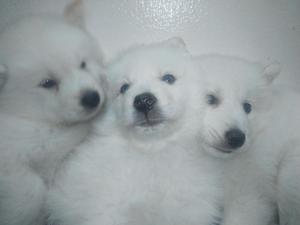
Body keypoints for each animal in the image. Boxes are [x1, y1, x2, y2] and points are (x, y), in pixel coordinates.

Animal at [47, 38, 224, 225]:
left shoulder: (192, 210)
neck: (153, 152)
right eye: (124, 88)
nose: (143, 101)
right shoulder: (105, 210)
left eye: (168, 78)